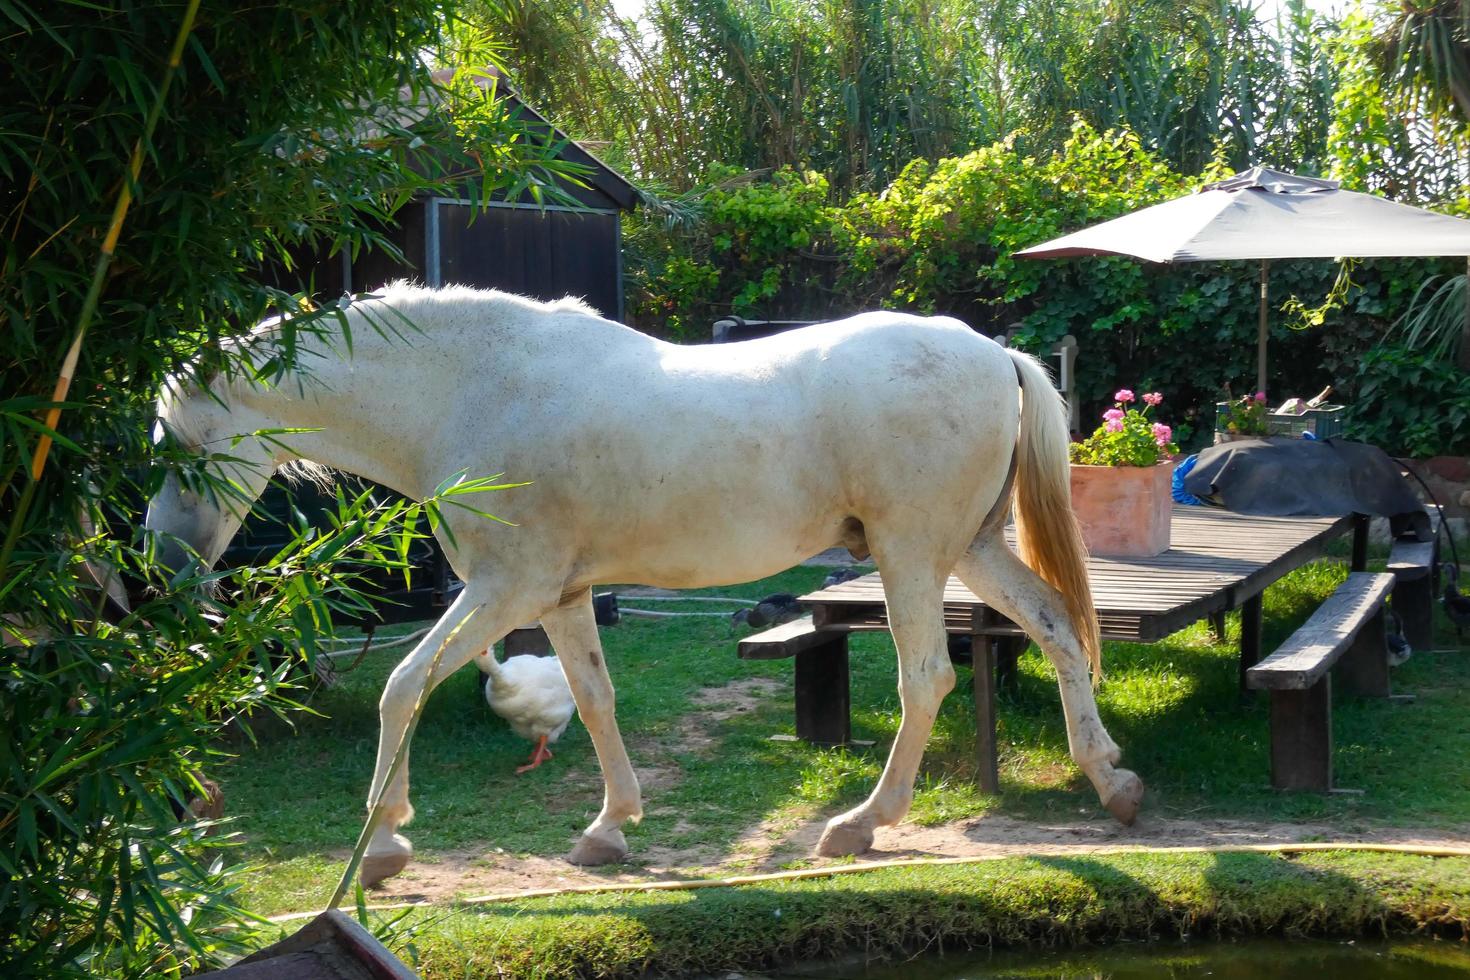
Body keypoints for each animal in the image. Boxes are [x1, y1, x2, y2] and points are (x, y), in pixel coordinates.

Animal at [146, 283, 1134, 887]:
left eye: (183, 447)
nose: (164, 563)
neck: (475, 388)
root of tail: (992, 353)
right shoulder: (557, 598)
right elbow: (593, 699)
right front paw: (610, 827)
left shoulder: (506, 591)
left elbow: (403, 685)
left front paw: (385, 840)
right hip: (966, 550)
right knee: (1054, 627)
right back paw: (1109, 779)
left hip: (910, 555)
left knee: (926, 677)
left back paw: (861, 823)